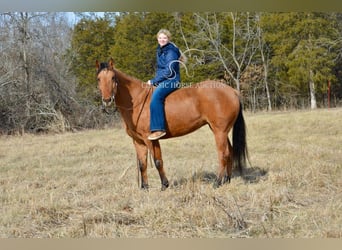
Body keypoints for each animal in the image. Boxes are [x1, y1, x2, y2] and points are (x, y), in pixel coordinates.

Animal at [95, 58, 247, 189]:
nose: (107, 100)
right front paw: (144, 187)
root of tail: (232, 91)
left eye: (113, 78)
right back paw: (226, 180)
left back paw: (217, 182)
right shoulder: (138, 141)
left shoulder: (150, 139)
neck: (137, 101)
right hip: (221, 131)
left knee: (223, 153)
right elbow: (142, 164)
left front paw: (164, 185)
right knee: (230, 151)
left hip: (219, 131)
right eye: (98, 79)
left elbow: (157, 161)